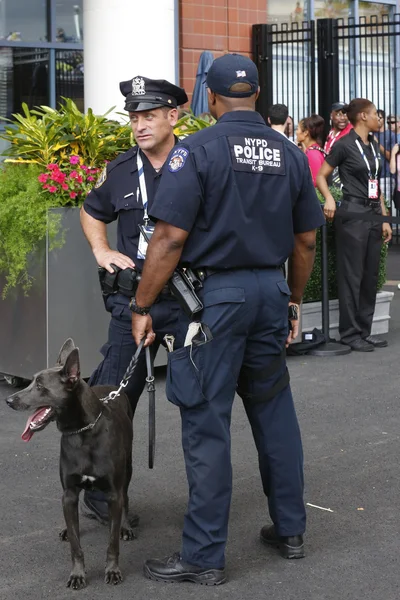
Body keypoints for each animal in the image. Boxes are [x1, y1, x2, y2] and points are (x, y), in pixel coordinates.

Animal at [5, 340, 134, 588]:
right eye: (32, 381)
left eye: (40, 386)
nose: (9, 401)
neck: (82, 432)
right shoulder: (70, 493)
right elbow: (76, 544)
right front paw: (77, 574)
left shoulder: (113, 493)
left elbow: (112, 542)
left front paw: (112, 570)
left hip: (128, 469)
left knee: (126, 497)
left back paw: (126, 526)